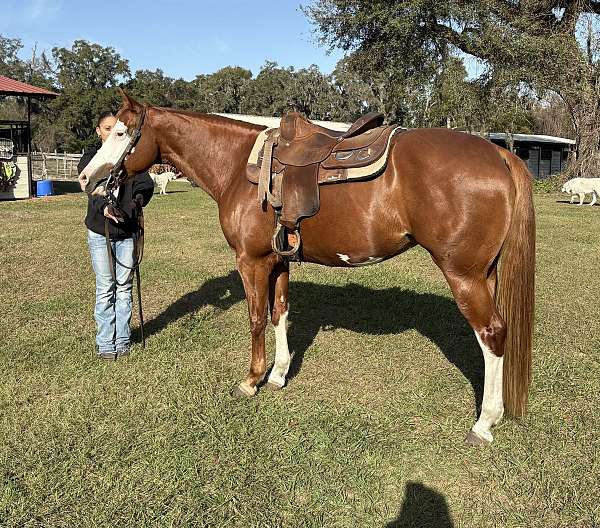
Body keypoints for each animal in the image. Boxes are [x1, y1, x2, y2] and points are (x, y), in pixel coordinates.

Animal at [81, 93, 536, 444]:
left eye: (121, 133)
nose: (87, 178)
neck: (237, 166)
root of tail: (499, 153)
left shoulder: (250, 262)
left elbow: (256, 319)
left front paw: (252, 380)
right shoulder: (278, 261)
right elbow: (280, 314)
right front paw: (279, 375)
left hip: (464, 275)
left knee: (492, 335)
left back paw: (484, 423)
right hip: (485, 274)